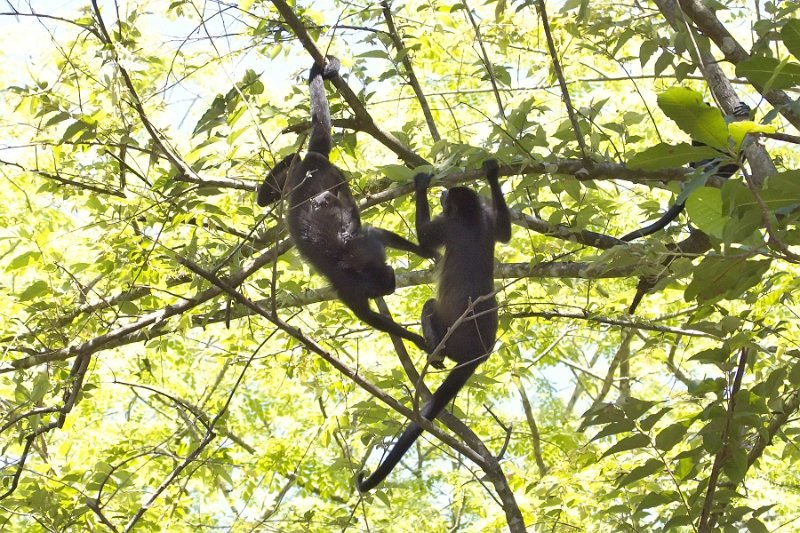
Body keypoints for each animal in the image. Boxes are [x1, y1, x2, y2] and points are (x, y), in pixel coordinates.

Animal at [256, 57, 434, 350]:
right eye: (378, 290)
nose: (387, 290)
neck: (359, 264)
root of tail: (314, 161)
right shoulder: (350, 284)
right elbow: (370, 318)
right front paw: (418, 339)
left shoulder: (361, 260)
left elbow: (373, 233)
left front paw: (426, 251)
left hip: (332, 173)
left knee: (339, 193)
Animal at [358, 160, 512, 492]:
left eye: (446, 198)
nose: (441, 193)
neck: (470, 216)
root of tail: (479, 352)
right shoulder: (488, 221)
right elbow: (505, 233)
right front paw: (491, 172)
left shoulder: (446, 225)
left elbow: (425, 239)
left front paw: (419, 184)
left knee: (429, 306)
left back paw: (434, 352)